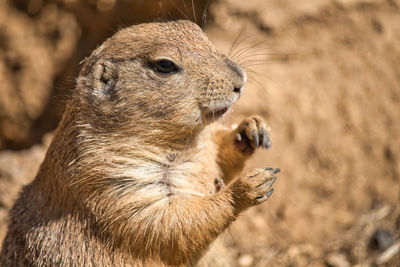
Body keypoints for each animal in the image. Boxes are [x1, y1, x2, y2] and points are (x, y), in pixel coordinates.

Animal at [0, 19, 278, 266]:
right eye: (164, 65)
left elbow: (220, 159)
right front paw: (251, 184)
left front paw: (252, 128)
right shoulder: (111, 182)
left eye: (195, 28)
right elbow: (169, 224)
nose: (240, 79)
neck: (184, 142)